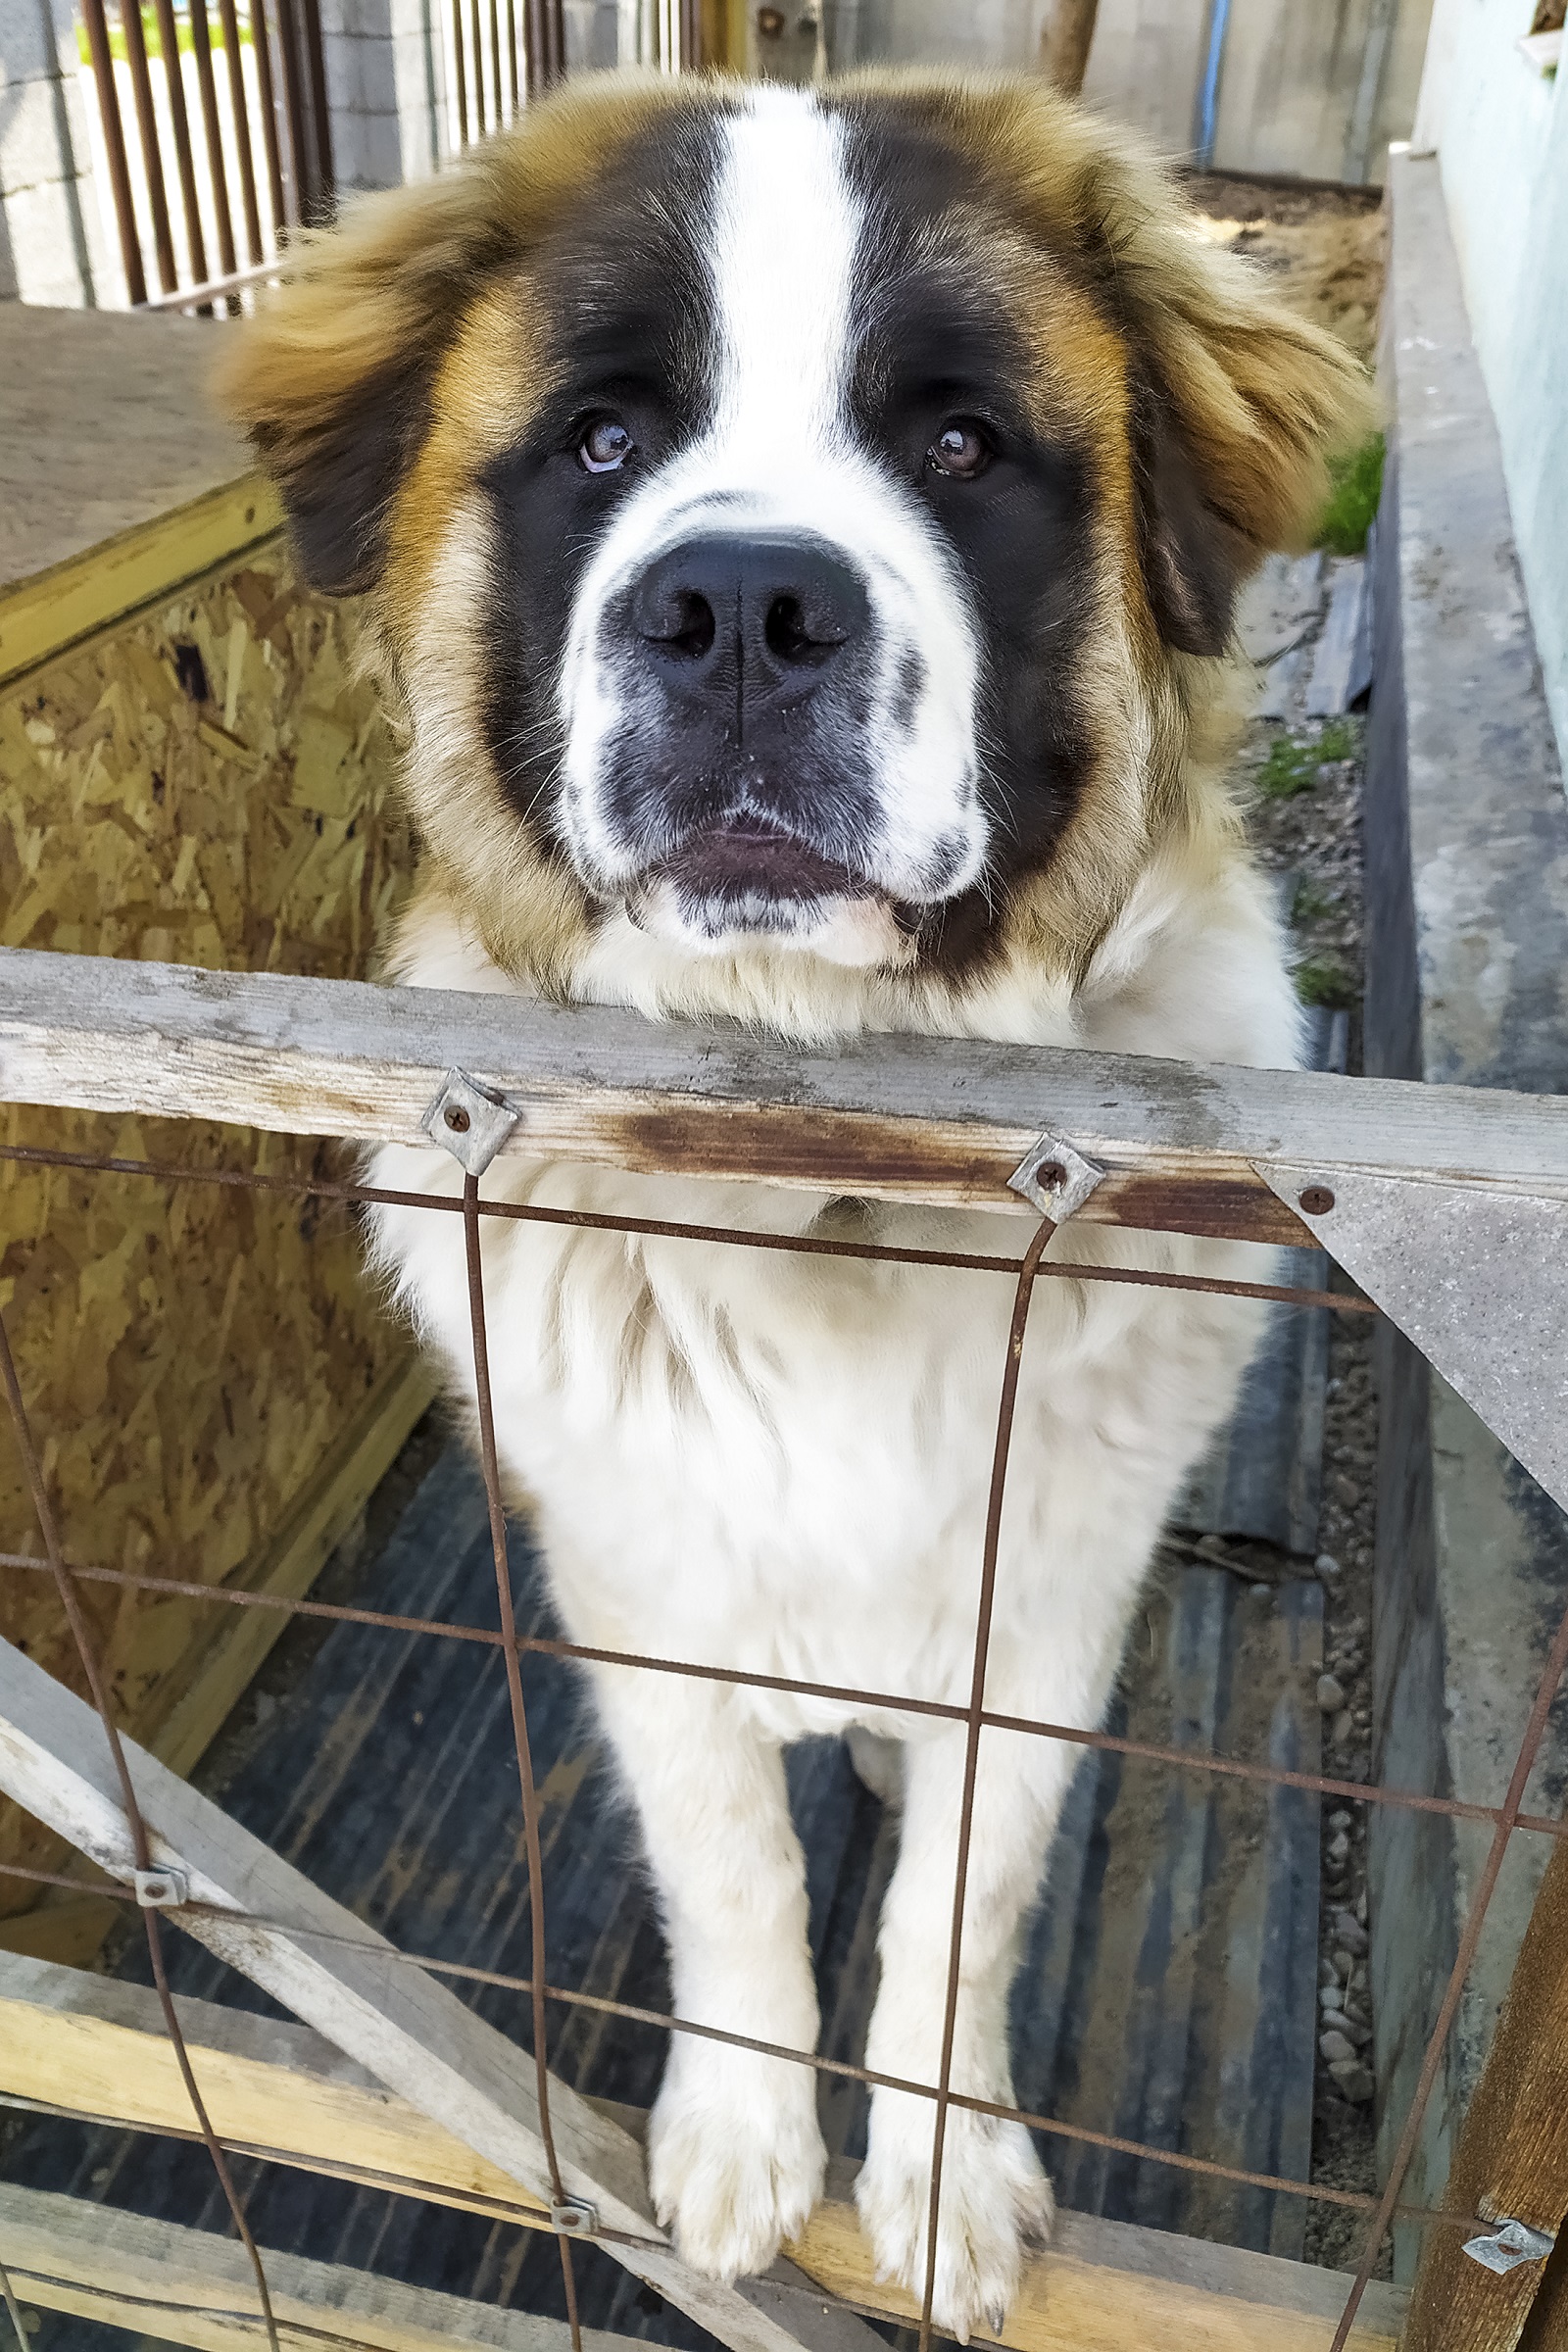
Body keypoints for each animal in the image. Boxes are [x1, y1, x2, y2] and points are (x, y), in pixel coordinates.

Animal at [226, 69, 1363, 2332]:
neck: (817, 1156)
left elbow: (963, 1891)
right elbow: (730, 1867)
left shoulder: (1045, 1601)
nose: (741, 609)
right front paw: (745, 2140)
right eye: (601, 442)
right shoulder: (640, 1590)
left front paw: (939, 2170)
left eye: (961, 446)